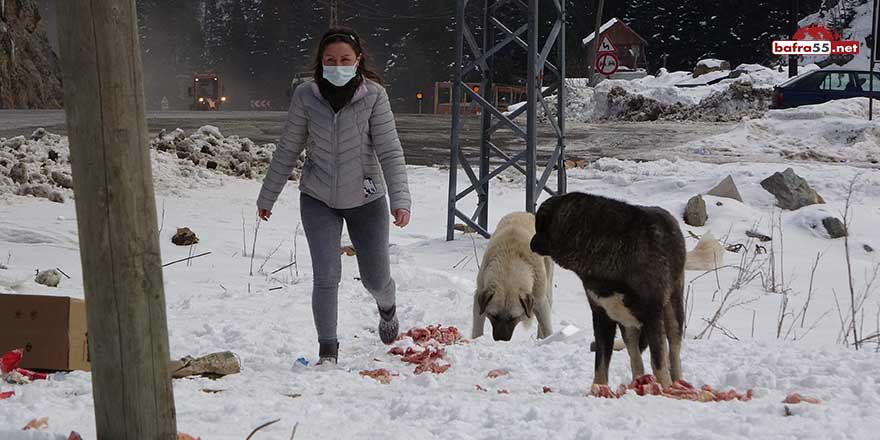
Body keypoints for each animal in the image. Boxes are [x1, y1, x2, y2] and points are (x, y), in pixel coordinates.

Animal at [470, 212, 552, 340]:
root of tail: (526, 213)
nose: (501, 340)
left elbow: (546, 327)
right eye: (494, 315)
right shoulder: (479, 295)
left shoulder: (539, 300)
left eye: (513, 318)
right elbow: (477, 327)